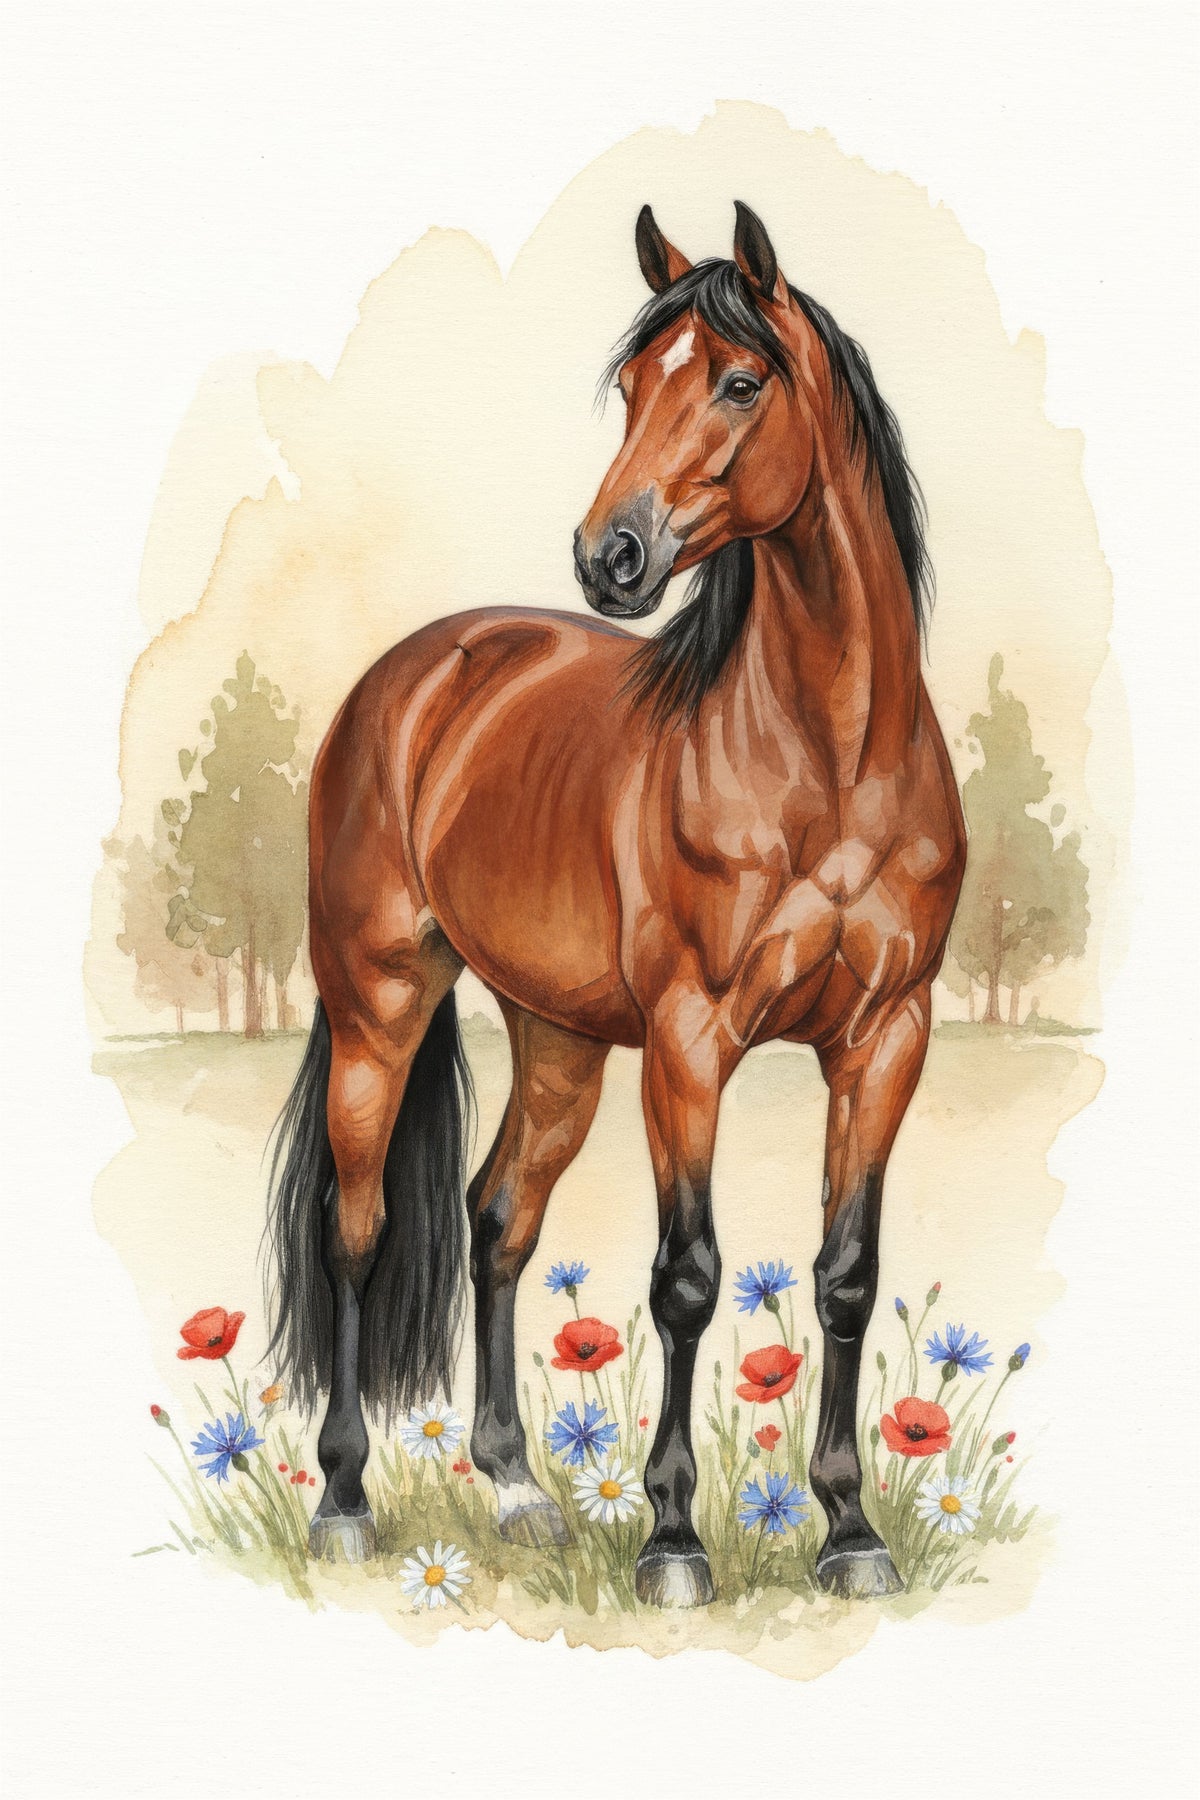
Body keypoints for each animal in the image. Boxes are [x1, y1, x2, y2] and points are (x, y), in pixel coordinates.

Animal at [267, 201, 966, 1605]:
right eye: (637, 384)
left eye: (742, 381)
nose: (612, 556)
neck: (831, 764)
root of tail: (414, 677)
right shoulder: (692, 1043)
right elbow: (686, 1280)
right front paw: (674, 1538)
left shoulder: (887, 1040)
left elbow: (846, 1277)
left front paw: (850, 1532)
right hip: (379, 1008)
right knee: (357, 1233)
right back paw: (348, 1501)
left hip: (561, 1042)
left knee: (497, 1220)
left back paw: (519, 1488)